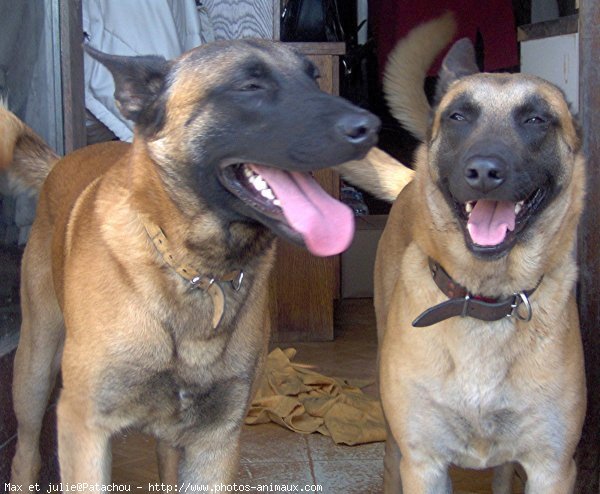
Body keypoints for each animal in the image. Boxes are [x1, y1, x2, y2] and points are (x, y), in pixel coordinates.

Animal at [2, 41, 380, 490]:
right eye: (249, 86)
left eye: (314, 79)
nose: (371, 127)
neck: (196, 270)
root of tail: (59, 163)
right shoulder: (85, 428)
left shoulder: (216, 440)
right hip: (35, 367)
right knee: (25, 451)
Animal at [342, 17, 584, 494]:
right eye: (458, 117)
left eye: (535, 119)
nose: (484, 171)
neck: (485, 301)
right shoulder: (424, 464)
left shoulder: (552, 467)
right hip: (394, 431)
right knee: (389, 463)